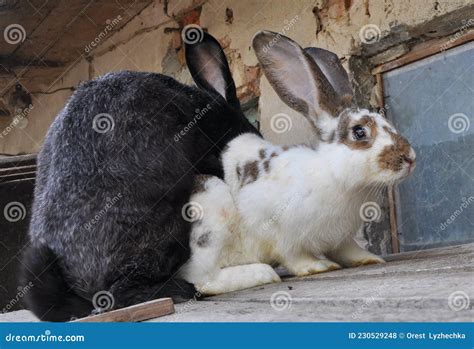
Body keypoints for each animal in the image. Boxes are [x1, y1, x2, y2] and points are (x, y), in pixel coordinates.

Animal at [180, 31, 416, 294]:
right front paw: (317, 266)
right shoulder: (274, 228)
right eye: (359, 132)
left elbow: (348, 249)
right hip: (212, 207)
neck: (335, 177)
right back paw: (262, 274)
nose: (410, 158)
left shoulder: (341, 238)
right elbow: (292, 255)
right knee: (203, 279)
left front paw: (369, 259)